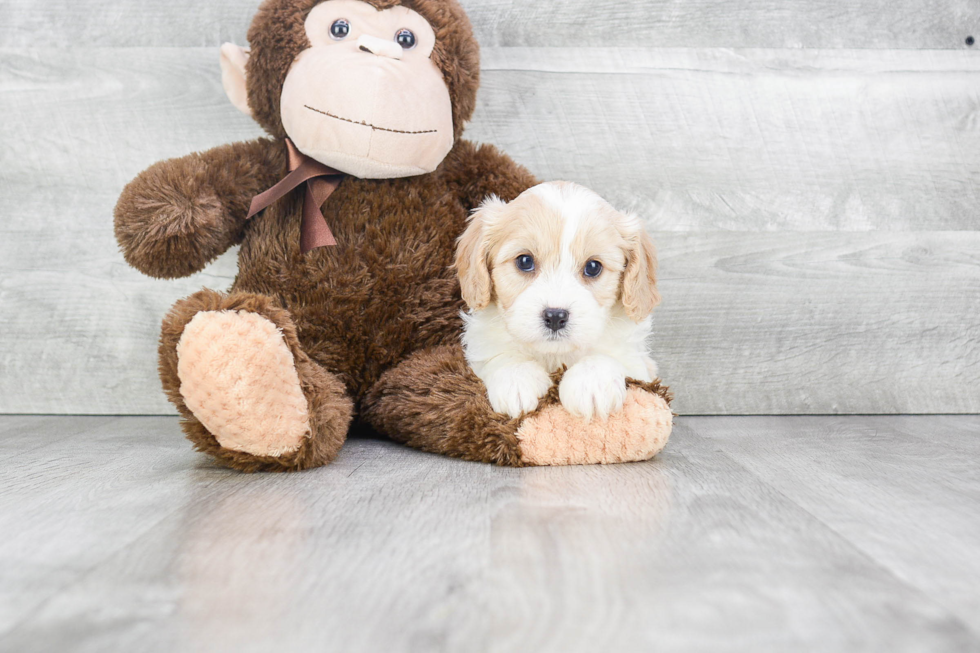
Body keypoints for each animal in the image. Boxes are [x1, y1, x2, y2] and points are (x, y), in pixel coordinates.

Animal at [458, 181, 660, 420]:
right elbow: (501, 356)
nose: (555, 316)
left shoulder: (638, 364)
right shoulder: (481, 351)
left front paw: (592, 382)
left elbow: (609, 358)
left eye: (593, 267)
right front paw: (517, 379)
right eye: (524, 261)